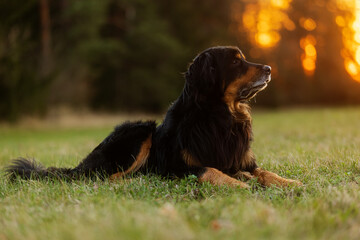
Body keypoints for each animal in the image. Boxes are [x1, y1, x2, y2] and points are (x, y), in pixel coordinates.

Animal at [7, 46, 302, 188]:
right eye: (236, 61)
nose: (269, 68)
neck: (219, 116)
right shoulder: (177, 166)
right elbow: (211, 170)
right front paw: (243, 186)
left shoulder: (243, 159)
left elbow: (264, 171)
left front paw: (289, 182)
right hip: (139, 130)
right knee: (105, 177)